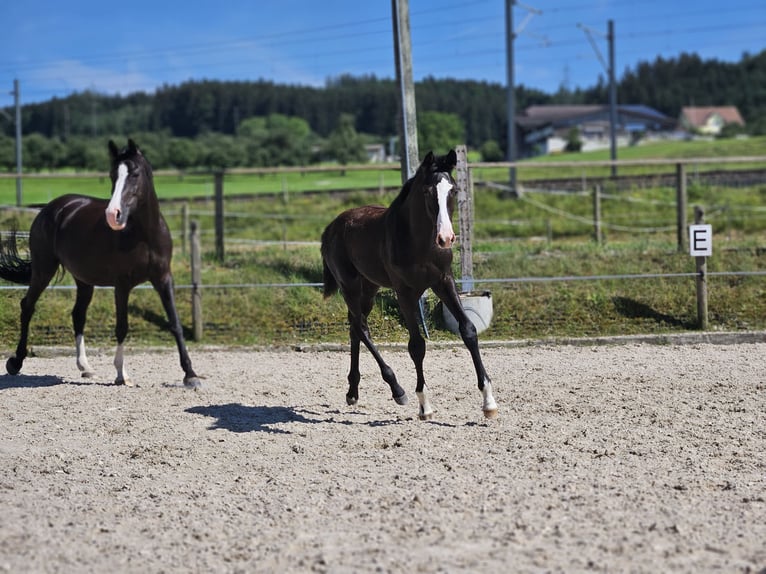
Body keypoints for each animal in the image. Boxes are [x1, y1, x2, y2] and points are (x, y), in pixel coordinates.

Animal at [0, 141, 201, 392]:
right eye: (113, 175)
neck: (144, 236)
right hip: (43, 270)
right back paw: (15, 362)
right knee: (28, 306)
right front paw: (121, 375)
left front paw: (190, 375)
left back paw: (85, 367)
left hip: (84, 280)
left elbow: (175, 323)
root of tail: (50, 208)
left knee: (78, 315)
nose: (113, 215)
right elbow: (122, 326)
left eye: (135, 174)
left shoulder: (164, 279)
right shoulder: (122, 284)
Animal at [322, 151, 498, 420]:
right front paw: (424, 405)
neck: (420, 244)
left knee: (355, 326)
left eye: (454, 190)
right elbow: (416, 345)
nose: (446, 238)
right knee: (360, 327)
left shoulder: (444, 282)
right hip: (349, 285)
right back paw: (396, 389)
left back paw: (353, 392)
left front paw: (489, 402)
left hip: (369, 287)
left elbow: (468, 330)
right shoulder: (404, 292)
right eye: (427, 191)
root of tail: (332, 227)